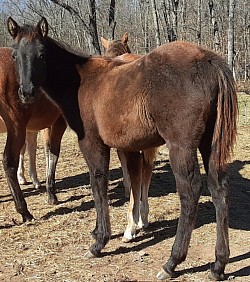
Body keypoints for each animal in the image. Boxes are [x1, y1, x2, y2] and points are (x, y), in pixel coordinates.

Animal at [0, 46, 67, 221]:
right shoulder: (59, 122)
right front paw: (51, 194)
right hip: (16, 124)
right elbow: (53, 152)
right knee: (9, 161)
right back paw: (24, 210)